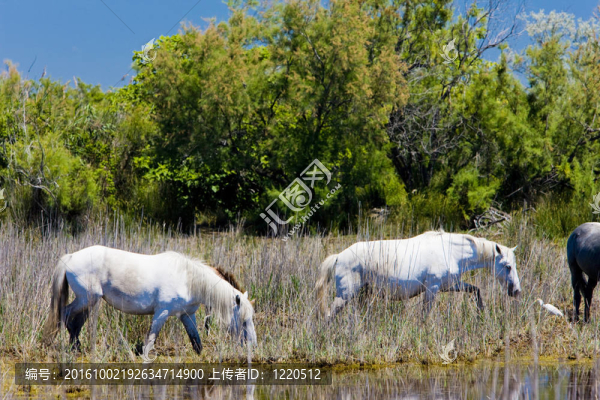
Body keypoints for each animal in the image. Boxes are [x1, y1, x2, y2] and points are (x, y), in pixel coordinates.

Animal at [42, 245, 257, 354]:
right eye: (243, 321)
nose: (253, 346)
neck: (188, 279)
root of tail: (70, 257)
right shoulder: (162, 312)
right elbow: (151, 338)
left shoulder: (187, 315)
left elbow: (196, 340)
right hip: (87, 299)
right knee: (66, 315)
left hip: (89, 302)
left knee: (75, 323)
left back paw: (76, 348)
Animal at [316, 231, 521, 319]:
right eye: (508, 266)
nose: (516, 291)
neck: (450, 251)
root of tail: (338, 256)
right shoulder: (432, 289)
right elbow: (425, 313)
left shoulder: (449, 285)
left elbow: (476, 291)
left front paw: (481, 312)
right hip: (345, 295)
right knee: (329, 315)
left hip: (360, 295)